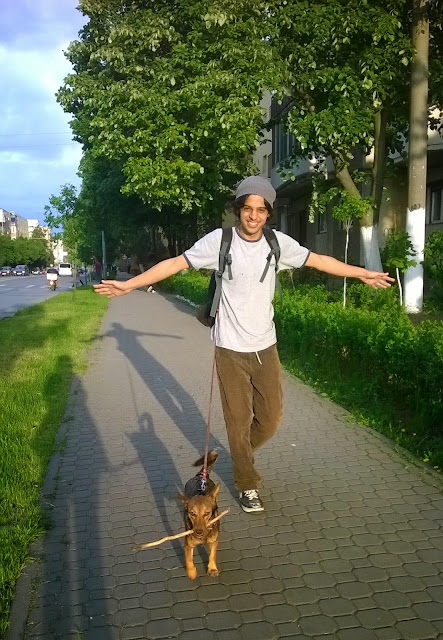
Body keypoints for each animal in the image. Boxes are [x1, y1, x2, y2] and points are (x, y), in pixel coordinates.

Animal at [177, 450, 220, 579]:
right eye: (192, 513)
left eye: (207, 513)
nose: (199, 532)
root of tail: (201, 476)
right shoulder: (188, 544)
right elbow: (188, 560)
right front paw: (191, 572)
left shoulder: (214, 541)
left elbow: (212, 555)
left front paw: (212, 568)